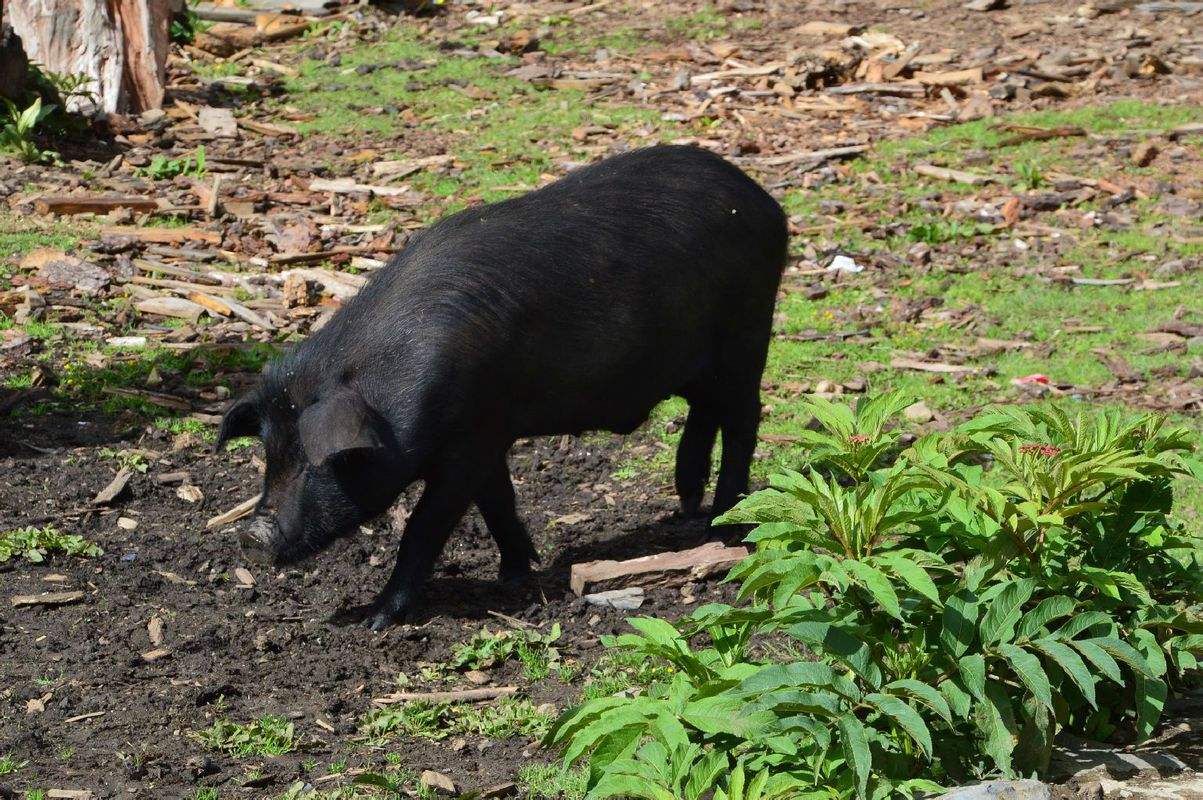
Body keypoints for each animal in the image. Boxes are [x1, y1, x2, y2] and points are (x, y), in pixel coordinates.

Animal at [218, 144, 789, 630]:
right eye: (272, 452)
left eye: (320, 461)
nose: (251, 535)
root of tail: (766, 203)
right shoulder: (488, 433)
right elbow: (498, 501)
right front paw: (515, 572)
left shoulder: (469, 441)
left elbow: (425, 524)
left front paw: (376, 621)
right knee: (706, 411)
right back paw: (687, 506)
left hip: (747, 332)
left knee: (745, 418)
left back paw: (722, 527)